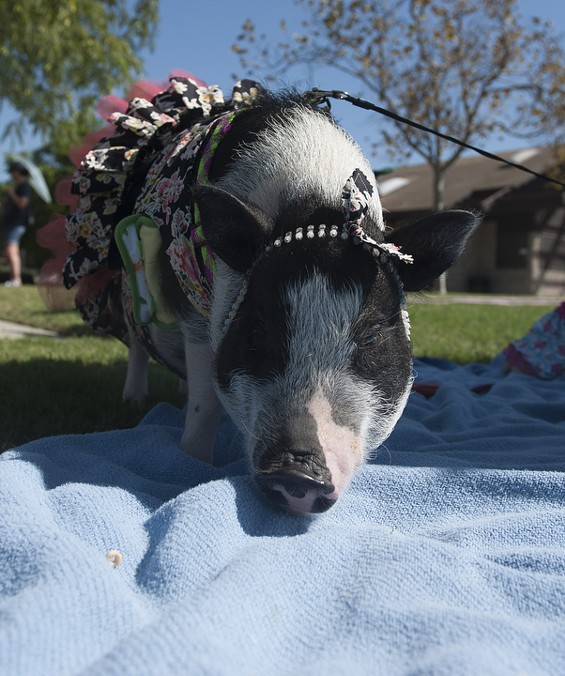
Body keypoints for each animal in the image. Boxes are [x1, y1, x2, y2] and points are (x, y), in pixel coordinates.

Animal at [66, 80, 480, 512]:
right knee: (137, 343)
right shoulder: (195, 312)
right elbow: (205, 401)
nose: (296, 471)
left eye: (371, 337)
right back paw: (133, 400)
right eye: (258, 328)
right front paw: (192, 466)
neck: (317, 202)